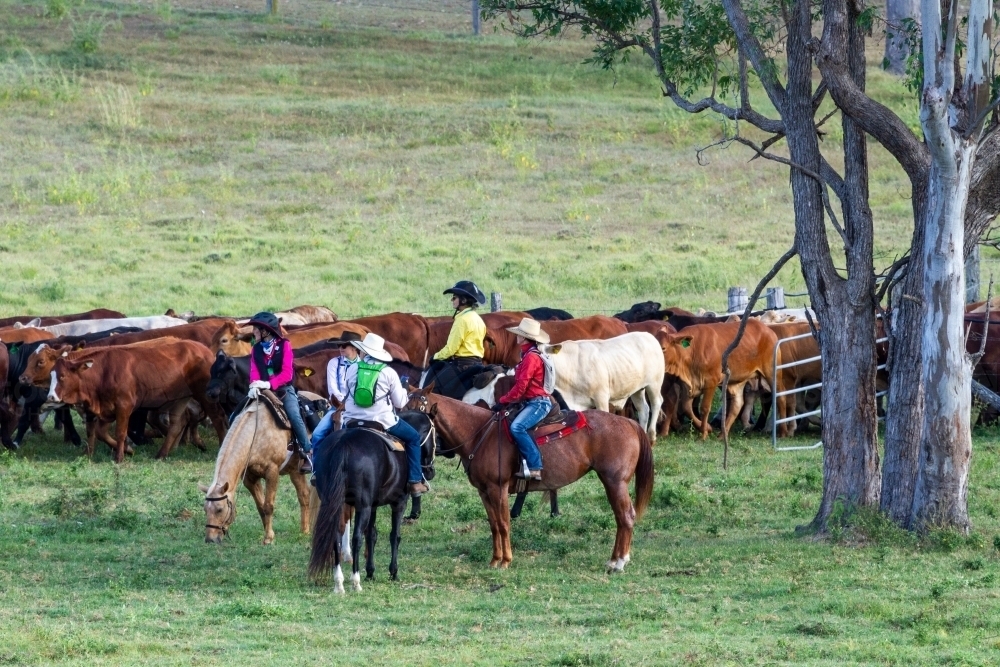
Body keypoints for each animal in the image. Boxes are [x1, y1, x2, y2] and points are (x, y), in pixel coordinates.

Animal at [47, 342, 227, 462]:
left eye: (62, 376)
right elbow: (97, 432)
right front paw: (94, 453)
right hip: (180, 398)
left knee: (217, 418)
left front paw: (120, 456)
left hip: (205, 394)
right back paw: (162, 454)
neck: (104, 372)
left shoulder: (124, 406)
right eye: (51, 375)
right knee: (177, 424)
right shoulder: (102, 409)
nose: (51, 397)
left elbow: (120, 433)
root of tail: (204, 350)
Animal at [203, 394, 324, 544]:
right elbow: (261, 507)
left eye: (219, 509)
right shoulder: (249, 478)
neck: (256, 434)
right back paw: (304, 531)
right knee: (304, 495)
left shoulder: (272, 472)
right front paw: (268, 533)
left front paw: (268, 538)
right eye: (205, 510)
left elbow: (268, 506)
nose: (210, 539)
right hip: (295, 471)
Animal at [308, 412, 434, 596]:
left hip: (335, 503)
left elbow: (372, 535)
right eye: (434, 436)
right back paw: (355, 581)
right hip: (363, 506)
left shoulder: (373, 505)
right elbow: (394, 536)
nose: (431, 471)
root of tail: (343, 443)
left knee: (336, 538)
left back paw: (339, 583)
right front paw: (393, 572)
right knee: (356, 539)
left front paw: (370, 572)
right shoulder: (399, 502)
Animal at [408, 392, 656, 576]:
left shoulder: (498, 489)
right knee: (621, 518)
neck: (479, 432)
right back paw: (614, 560)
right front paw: (494, 560)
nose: (424, 470)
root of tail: (630, 422)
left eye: (423, 423)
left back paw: (619, 563)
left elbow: (504, 523)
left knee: (626, 516)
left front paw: (506, 561)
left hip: (615, 482)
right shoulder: (484, 491)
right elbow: (494, 524)